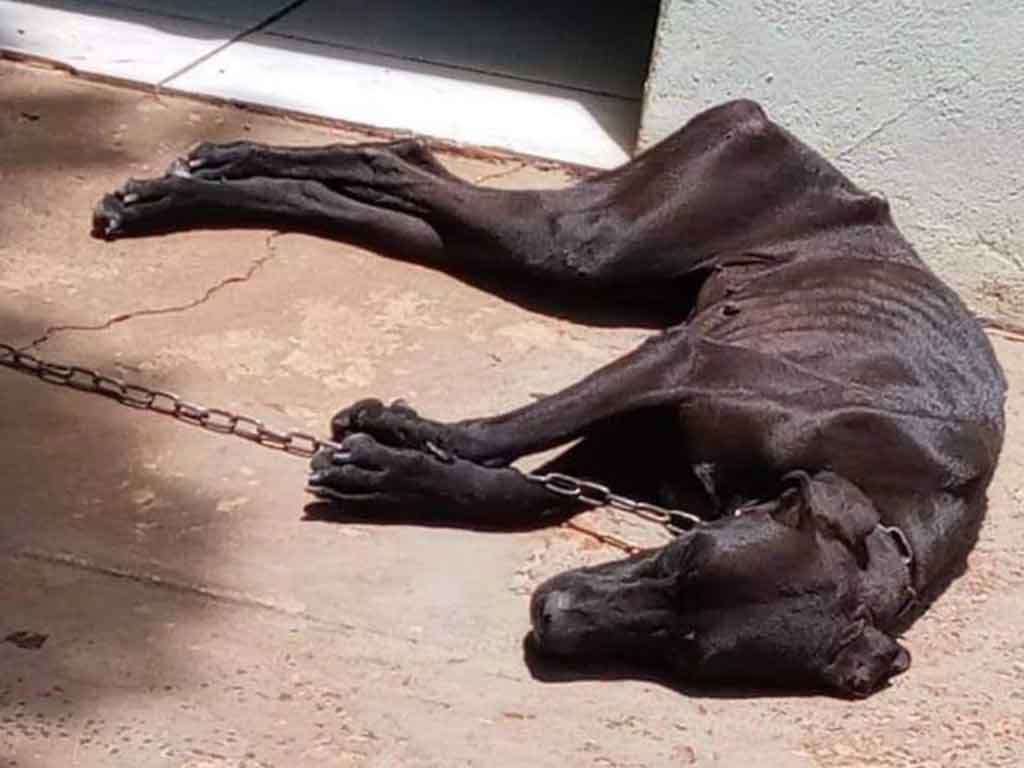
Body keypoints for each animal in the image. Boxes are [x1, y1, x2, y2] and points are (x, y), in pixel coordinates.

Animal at [94, 100, 1006, 697]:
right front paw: (403, 431)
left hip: (541, 250)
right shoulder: (681, 360)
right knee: (393, 162)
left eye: (685, 655)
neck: (889, 494)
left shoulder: (647, 440)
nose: (548, 614)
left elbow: (523, 495)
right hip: (589, 244)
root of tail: (790, 139)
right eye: (678, 558)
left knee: (390, 188)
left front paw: (393, 474)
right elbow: (514, 433)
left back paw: (196, 187)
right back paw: (201, 176)